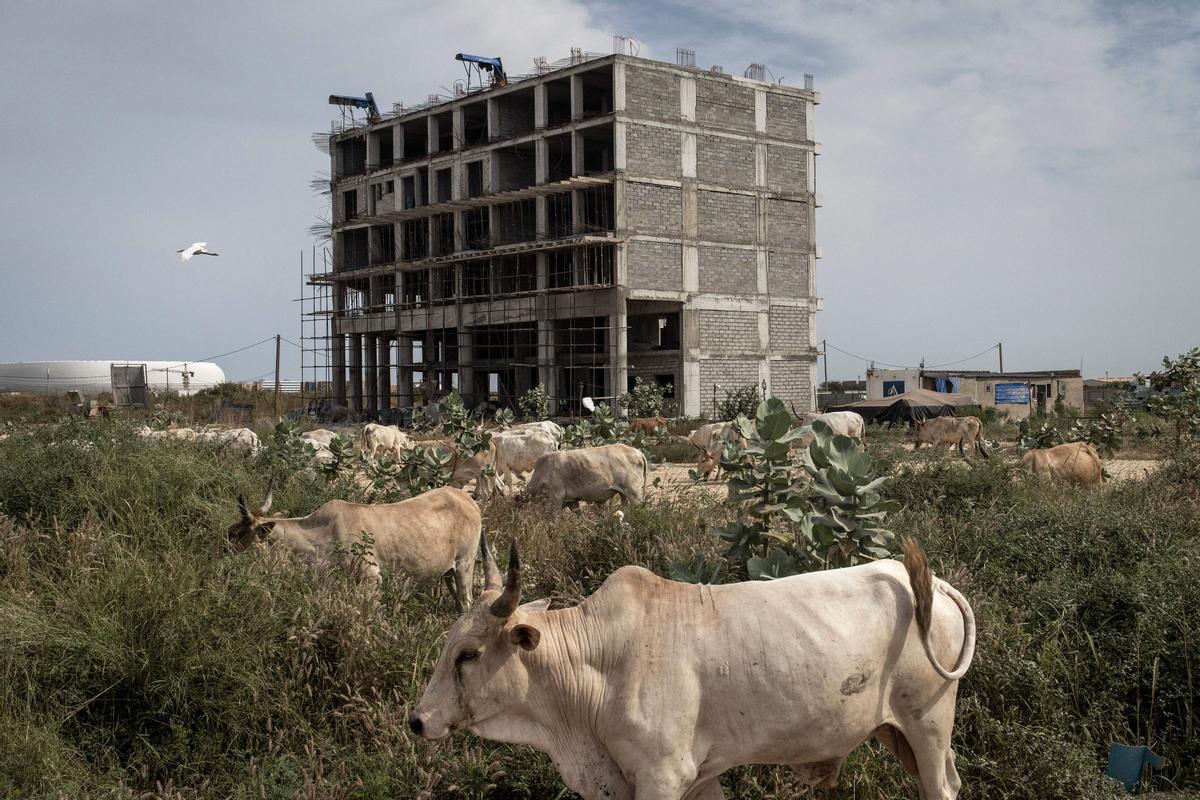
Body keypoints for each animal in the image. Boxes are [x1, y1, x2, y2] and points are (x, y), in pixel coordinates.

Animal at [226, 484, 480, 609]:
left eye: (235, 534)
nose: (224, 557)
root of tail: (467, 498)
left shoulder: (371, 579)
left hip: (465, 565)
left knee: (466, 603)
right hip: (448, 572)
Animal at [410, 537, 974, 800]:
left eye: (468, 654)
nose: (418, 720)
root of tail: (931, 584)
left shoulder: (662, 776)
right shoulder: (699, 778)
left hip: (927, 725)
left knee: (940, 788)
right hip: (899, 734)